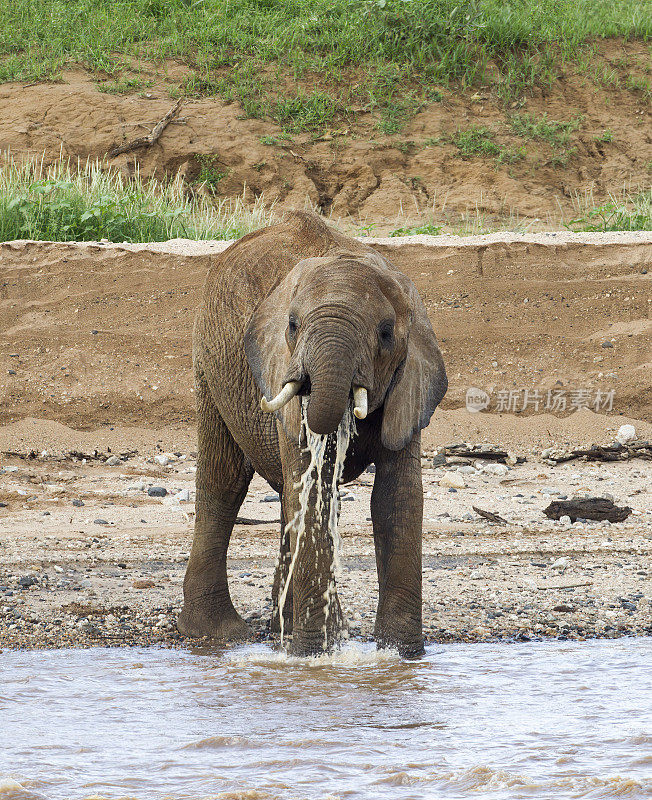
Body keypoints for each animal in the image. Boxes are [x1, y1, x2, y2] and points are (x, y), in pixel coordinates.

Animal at [176, 208, 446, 656]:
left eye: (386, 332)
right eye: (292, 325)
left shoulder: (410, 381)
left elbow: (398, 497)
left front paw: (400, 654)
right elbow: (312, 487)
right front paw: (315, 652)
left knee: (287, 497)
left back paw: (281, 628)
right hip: (209, 361)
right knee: (224, 483)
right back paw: (220, 635)